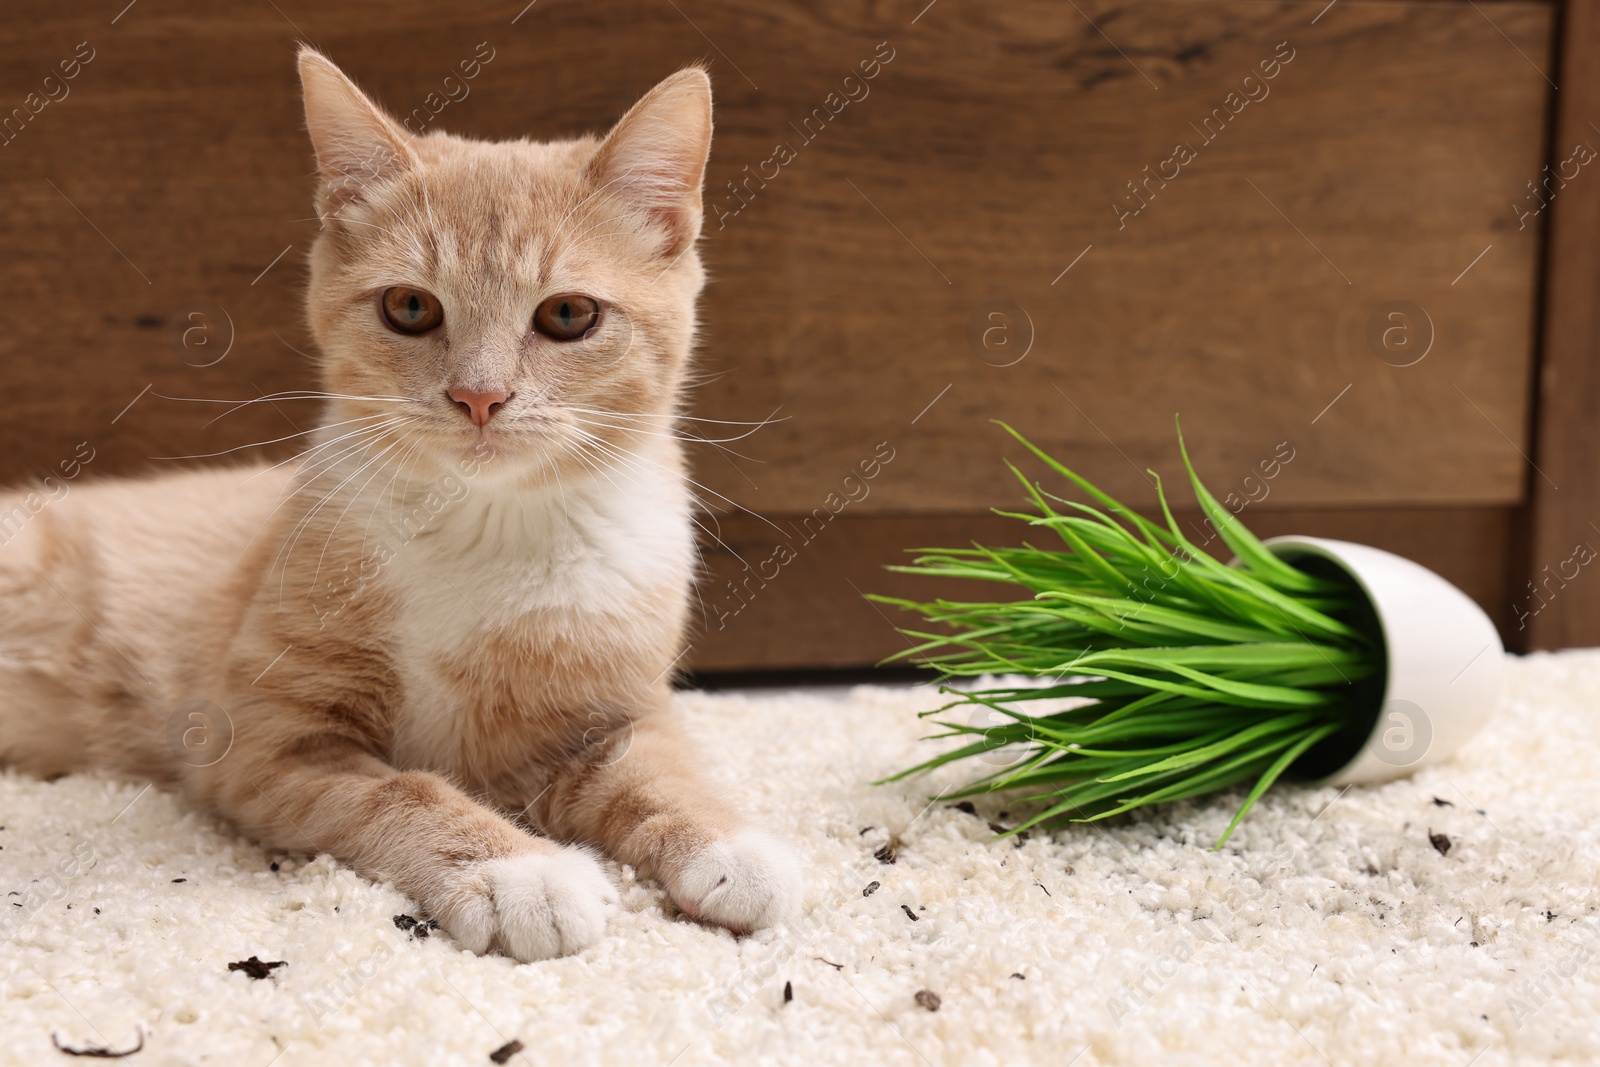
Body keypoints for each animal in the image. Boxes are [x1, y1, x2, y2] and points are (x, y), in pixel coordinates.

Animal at [0, 49, 800, 966]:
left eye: (569, 314)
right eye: (410, 307)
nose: (480, 396)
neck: (480, 530)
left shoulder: (621, 709)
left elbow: (661, 770)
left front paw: (730, 843)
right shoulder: (267, 742)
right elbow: (405, 790)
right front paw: (521, 871)